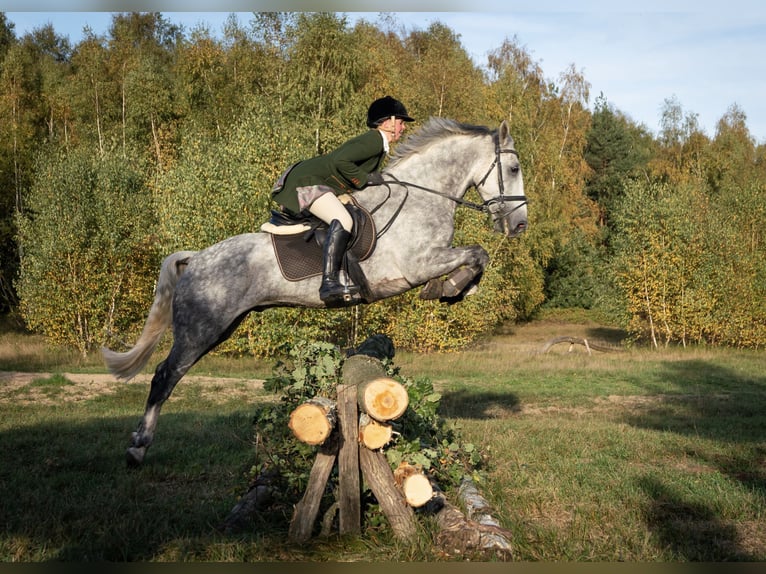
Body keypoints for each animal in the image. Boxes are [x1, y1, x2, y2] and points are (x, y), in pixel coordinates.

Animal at [102, 117, 528, 466]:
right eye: (513, 168)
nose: (520, 225)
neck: (424, 197)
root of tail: (196, 258)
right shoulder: (416, 265)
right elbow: (477, 252)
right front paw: (452, 286)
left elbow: (477, 258)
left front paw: (456, 289)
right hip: (200, 328)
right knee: (164, 376)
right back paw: (137, 447)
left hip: (222, 327)